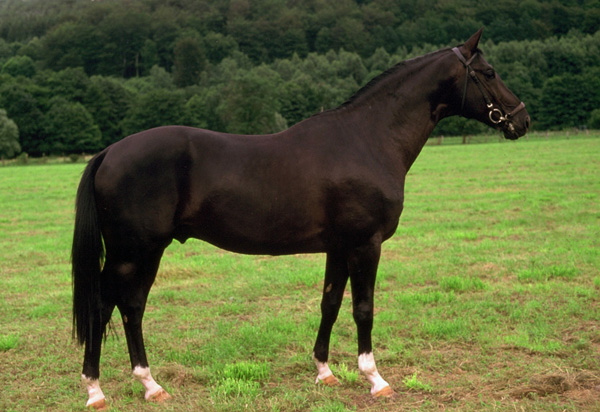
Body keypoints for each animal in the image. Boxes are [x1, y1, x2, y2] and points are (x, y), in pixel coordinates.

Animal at [72, 29, 528, 408]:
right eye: (488, 72)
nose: (521, 119)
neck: (368, 139)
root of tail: (109, 152)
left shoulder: (339, 247)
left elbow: (330, 303)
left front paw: (325, 372)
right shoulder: (365, 244)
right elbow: (363, 308)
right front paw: (375, 379)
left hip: (146, 253)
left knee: (131, 306)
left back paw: (151, 386)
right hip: (131, 253)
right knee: (104, 305)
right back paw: (96, 390)